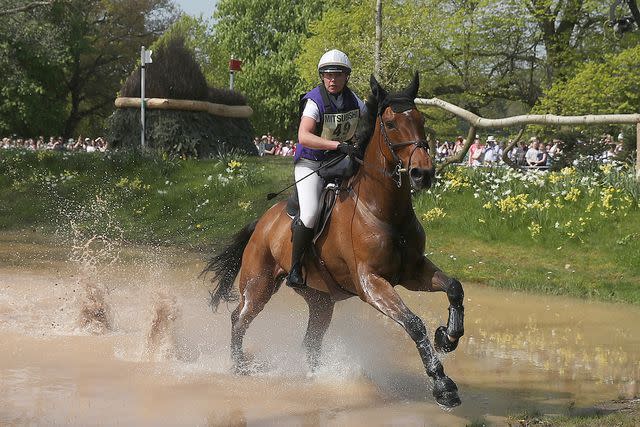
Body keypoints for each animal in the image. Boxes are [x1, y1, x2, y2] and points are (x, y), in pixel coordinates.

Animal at [204, 72, 464, 408]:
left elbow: (454, 287)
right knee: (240, 318)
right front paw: (442, 383)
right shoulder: (371, 283)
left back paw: (316, 377)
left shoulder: (413, 271)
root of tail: (262, 222)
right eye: (391, 123)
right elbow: (414, 323)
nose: (423, 173)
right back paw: (239, 367)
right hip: (259, 284)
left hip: (320, 300)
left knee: (310, 341)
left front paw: (448, 337)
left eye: (420, 119)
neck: (383, 211)